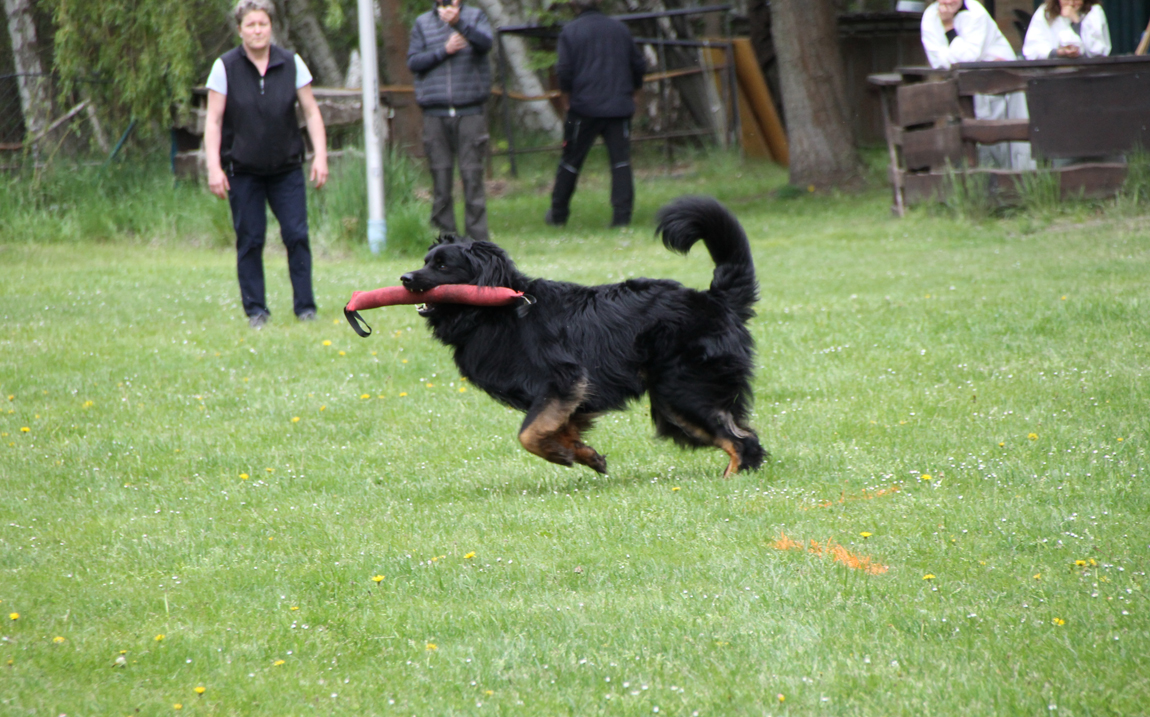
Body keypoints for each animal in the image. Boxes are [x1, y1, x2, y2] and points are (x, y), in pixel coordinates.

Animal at [400, 196, 768, 476]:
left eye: (443, 266)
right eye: (426, 260)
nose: (404, 278)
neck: (501, 309)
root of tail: (714, 299)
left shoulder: (563, 379)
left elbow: (528, 433)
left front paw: (563, 454)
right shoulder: (564, 394)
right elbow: (555, 429)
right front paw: (584, 454)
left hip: (682, 392)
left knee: (741, 441)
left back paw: (730, 480)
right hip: (673, 403)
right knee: (745, 435)